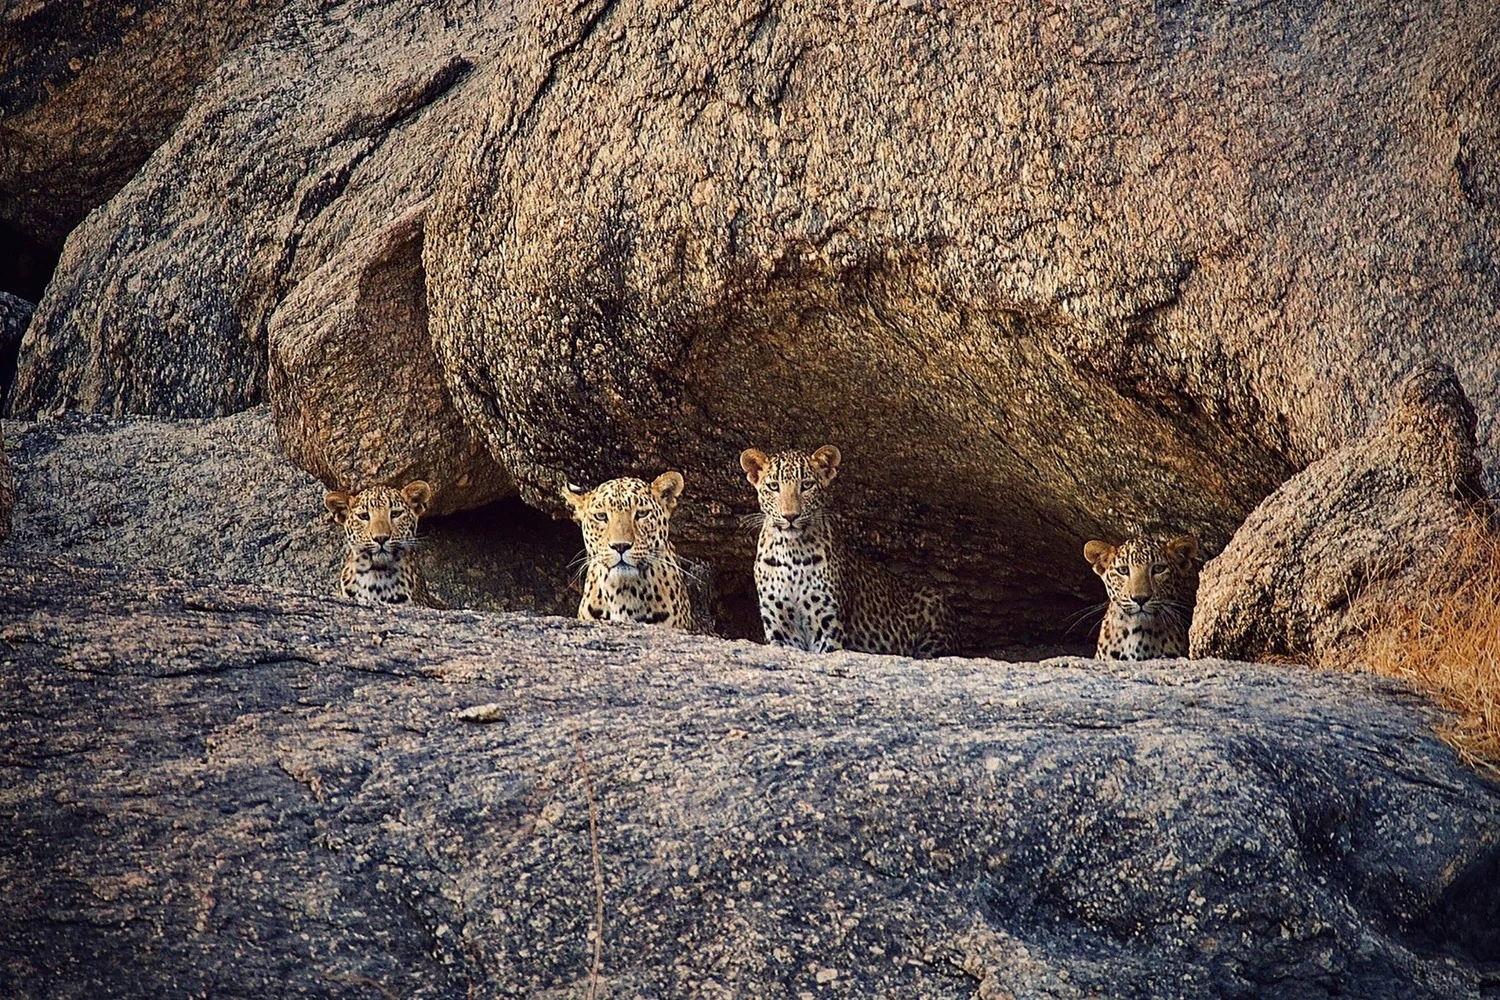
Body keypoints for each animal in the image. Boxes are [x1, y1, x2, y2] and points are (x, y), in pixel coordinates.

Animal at [740, 445, 953, 658]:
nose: (790, 516)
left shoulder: (827, 628)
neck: (791, 552)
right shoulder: (781, 630)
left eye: (807, 485)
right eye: (774, 486)